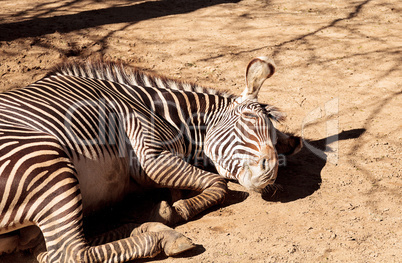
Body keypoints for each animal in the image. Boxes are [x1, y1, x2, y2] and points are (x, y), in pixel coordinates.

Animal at [0, 56, 302, 262]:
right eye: (248, 119)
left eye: (275, 141)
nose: (270, 173)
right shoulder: (152, 158)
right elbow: (219, 185)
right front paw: (179, 208)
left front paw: (171, 203)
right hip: (48, 165)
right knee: (69, 253)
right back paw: (160, 234)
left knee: (47, 250)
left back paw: (154, 226)